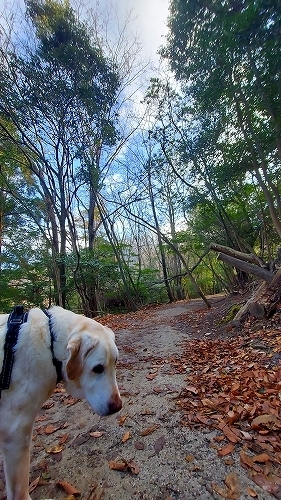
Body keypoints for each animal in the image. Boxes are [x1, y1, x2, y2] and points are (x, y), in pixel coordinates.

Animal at [0, 306, 122, 500]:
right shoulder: (15, 433)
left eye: (115, 362)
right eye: (97, 368)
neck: (49, 344)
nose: (118, 407)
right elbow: (19, 490)